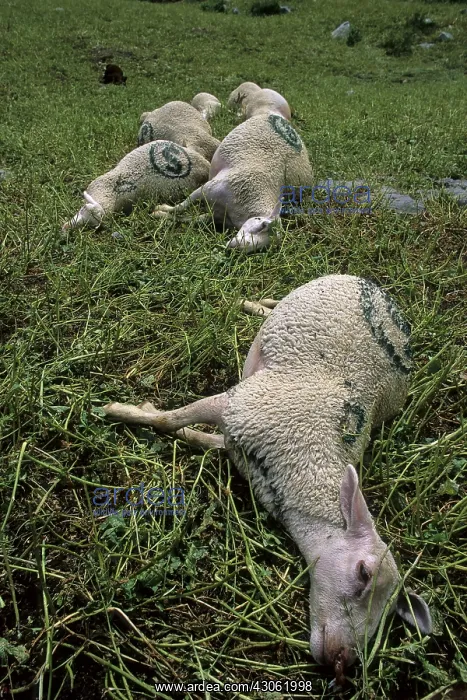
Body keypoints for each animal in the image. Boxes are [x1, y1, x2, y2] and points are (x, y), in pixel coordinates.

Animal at [103, 273, 432, 675]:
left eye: (388, 614)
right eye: (363, 574)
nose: (343, 664)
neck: (307, 466)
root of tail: (376, 288)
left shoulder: (238, 436)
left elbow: (199, 437)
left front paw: (172, 428)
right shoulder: (240, 404)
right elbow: (168, 419)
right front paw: (123, 410)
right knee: (271, 304)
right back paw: (247, 303)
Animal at [152, 113, 313, 252]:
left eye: (261, 248)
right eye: (262, 225)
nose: (232, 247)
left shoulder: (217, 216)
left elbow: (190, 219)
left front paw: (162, 215)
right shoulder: (205, 189)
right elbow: (182, 206)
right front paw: (162, 209)